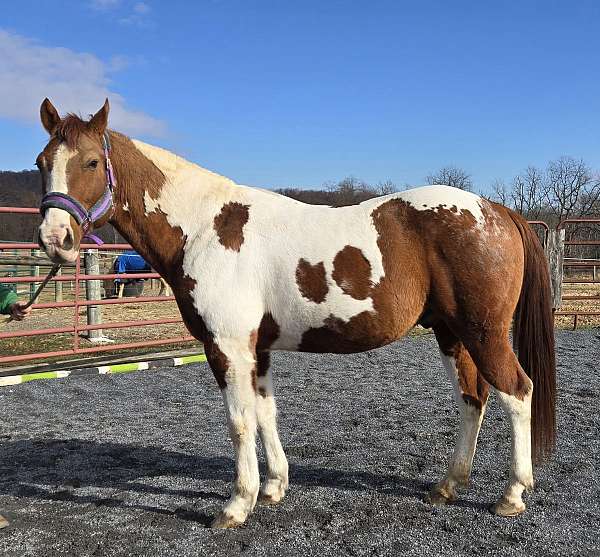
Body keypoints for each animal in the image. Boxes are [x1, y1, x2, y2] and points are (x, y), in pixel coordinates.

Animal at [34, 97, 556, 528]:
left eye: (91, 161)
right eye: (42, 162)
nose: (55, 239)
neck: (204, 227)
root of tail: (497, 211)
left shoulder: (227, 348)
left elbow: (239, 421)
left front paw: (237, 504)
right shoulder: (257, 349)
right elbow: (266, 412)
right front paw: (273, 488)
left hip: (484, 332)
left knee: (516, 392)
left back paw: (512, 494)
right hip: (451, 333)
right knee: (472, 398)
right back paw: (447, 486)